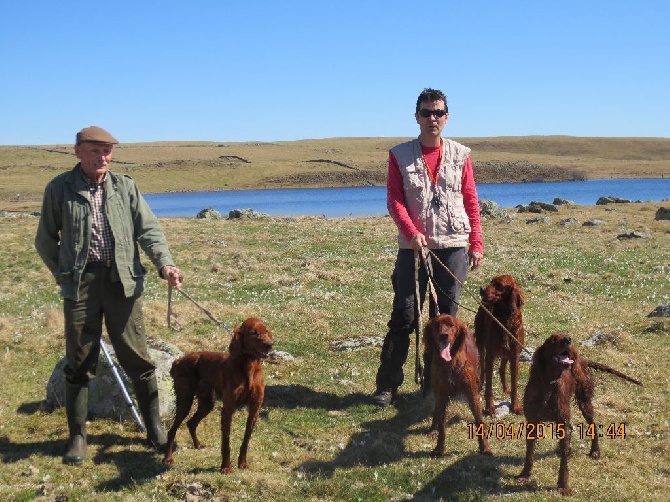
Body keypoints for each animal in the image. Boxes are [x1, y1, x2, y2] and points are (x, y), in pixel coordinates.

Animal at [164, 318, 274, 474]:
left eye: (266, 330)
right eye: (253, 332)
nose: (270, 344)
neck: (248, 367)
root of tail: (178, 360)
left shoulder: (255, 408)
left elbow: (246, 438)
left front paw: (242, 463)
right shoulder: (228, 409)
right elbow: (226, 441)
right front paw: (226, 467)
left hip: (207, 402)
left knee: (191, 423)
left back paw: (198, 445)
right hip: (185, 400)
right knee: (172, 430)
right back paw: (167, 458)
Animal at [426, 316, 494, 456]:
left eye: (451, 325)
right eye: (436, 325)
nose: (444, 335)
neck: (449, 363)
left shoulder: (472, 393)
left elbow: (479, 420)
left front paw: (485, 448)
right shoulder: (442, 394)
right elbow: (441, 422)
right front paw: (439, 448)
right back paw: (433, 428)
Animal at [476, 274, 528, 416]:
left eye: (499, 285)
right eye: (491, 281)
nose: (481, 289)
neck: (505, 321)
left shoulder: (515, 355)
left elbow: (515, 385)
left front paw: (515, 406)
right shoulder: (490, 354)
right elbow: (489, 385)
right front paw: (489, 407)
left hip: (506, 353)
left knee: (501, 368)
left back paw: (505, 387)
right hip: (480, 343)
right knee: (482, 367)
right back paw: (480, 384)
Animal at [516, 334, 644, 494]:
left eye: (565, 335)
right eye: (553, 339)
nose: (568, 339)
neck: (548, 384)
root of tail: (582, 360)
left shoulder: (563, 422)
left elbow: (564, 463)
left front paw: (563, 486)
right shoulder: (532, 421)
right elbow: (529, 454)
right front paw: (524, 475)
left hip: (585, 403)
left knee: (593, 425)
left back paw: (595, 451)